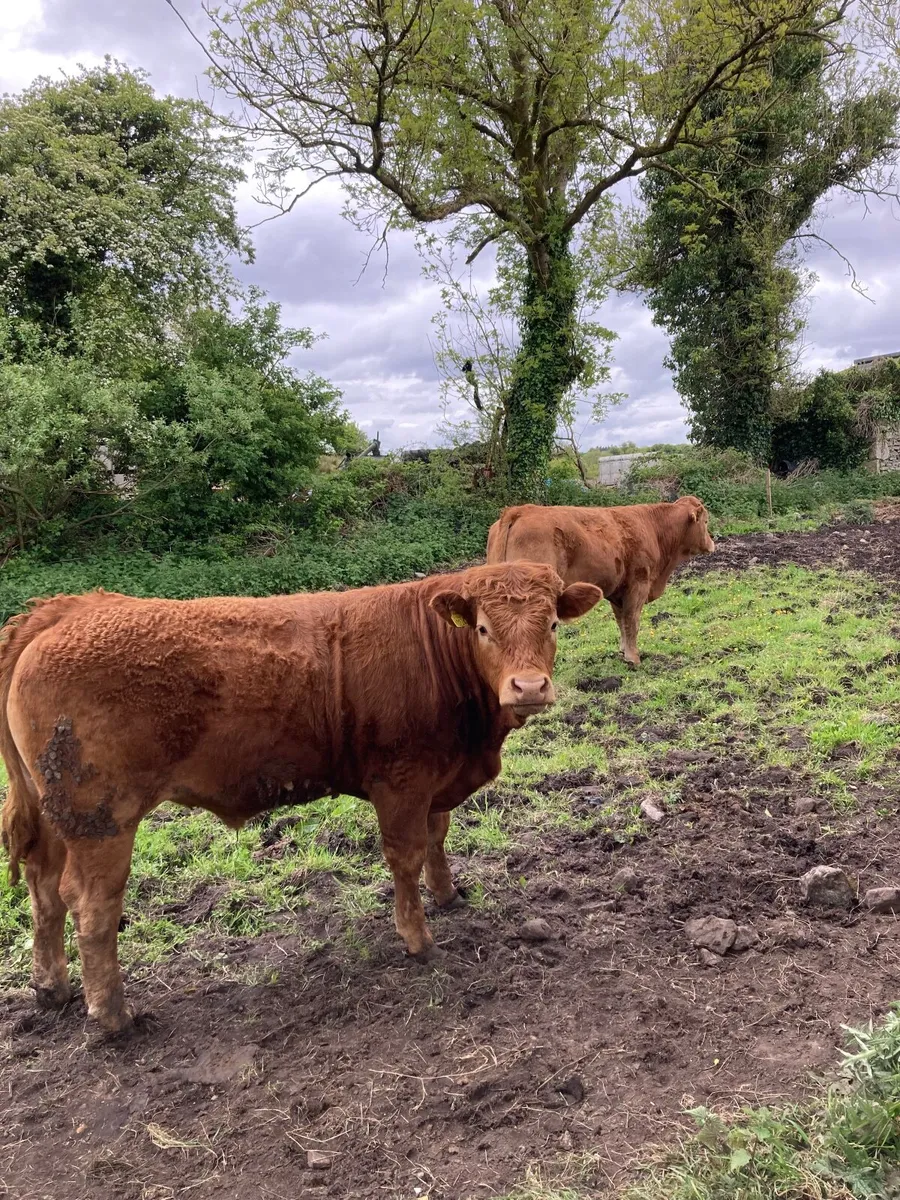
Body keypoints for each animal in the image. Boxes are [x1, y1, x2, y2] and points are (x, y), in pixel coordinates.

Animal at [0, 564, 601, 1032]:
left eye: (552, 624)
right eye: (481, 627)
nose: (529, 687)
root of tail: (68, 609)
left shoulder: (437, 778)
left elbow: (437, 837)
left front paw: (449, 895)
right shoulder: (401, 781)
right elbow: (405, 857)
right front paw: (418, 938)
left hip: (58, 817)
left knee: (44, 889)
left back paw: (52, 988)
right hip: (102, 818)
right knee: (91, 904)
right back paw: (114, 1016)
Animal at [486, 497, 715, 666]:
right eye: (705, 522)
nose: (712, 543)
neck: (654, 527)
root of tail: (521, 510)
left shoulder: (617, 592)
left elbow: (621, 621)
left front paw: (623, 651)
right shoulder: (638, 585)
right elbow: (632, 621)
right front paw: (634, 658)